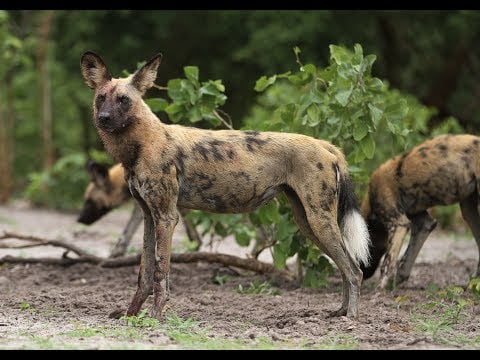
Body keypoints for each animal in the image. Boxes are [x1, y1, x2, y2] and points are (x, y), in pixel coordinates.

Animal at [79, 50, 372, 318]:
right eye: (101, 98)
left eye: (124, 100)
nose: (103, 118)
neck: (141, 145)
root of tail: (326, 145)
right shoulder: (149, 217)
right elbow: (145, 274)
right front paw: (130, 315)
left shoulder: (166, 217)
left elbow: (161, 273)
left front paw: (156, 317)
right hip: (308, 222)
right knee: (344, 266)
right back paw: (339, 312)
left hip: (319, 220)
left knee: (354, 270)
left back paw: (351, 318)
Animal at [360, 134, 480, 288]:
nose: (364, 275)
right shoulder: (422, 223)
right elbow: (405, 263)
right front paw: (395, 283)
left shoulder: (399, 224)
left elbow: (387, 264)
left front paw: (379, 289)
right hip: (468, 208)